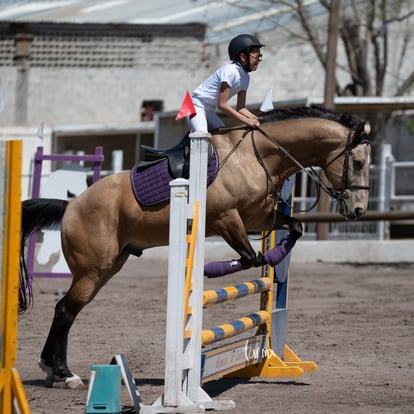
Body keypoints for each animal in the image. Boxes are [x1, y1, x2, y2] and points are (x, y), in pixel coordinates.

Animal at [19, 105, 372, 390]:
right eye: (356, 163)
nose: (358, 210)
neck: (258, 157)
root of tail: (70, 206)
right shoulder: (227, 218)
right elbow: (249, 257)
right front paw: (219, 268)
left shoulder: (260, 218)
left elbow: (293, 228)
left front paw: (274, 258)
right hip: (93, 270)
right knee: (66, 310)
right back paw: (65, 375)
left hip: (109, 267)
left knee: (65, 309)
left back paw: (51, 371)